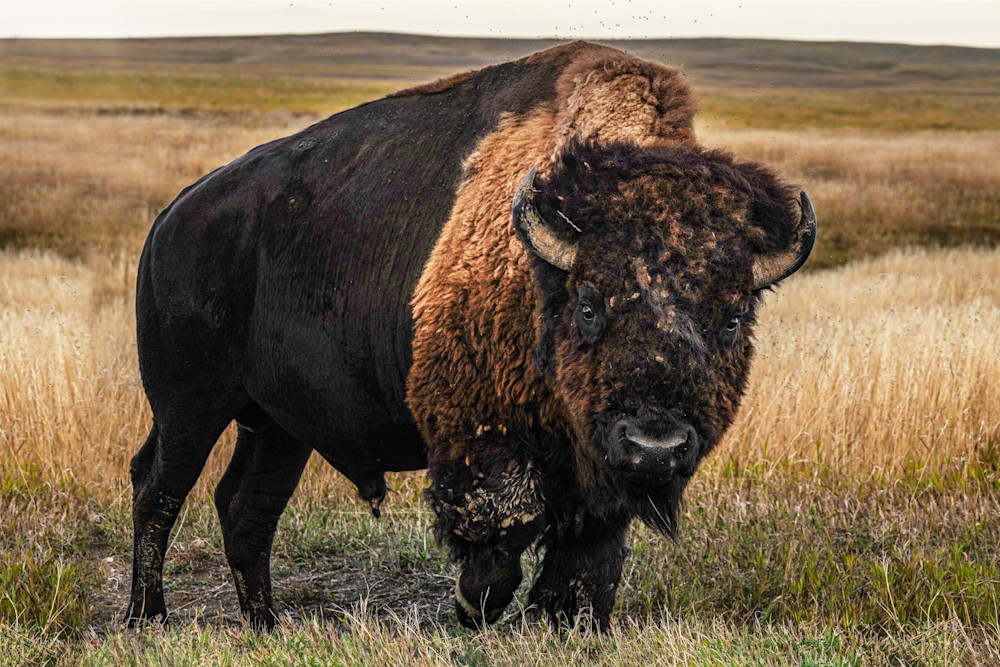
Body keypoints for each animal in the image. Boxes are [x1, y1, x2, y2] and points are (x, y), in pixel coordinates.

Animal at [125, 41, 816, 631]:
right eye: (589, 305)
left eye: (732, 317)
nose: (655, 445)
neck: (544, 274)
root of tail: (172, 217)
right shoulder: (481, 430)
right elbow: (505, 517)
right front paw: (472, 604)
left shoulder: (593, 465)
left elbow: (592, 548)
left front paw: (568, 620)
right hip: (190, 404)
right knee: (158, 487)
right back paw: (147, 618)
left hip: (276, 425)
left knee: (246, 506)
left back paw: (265, 623)